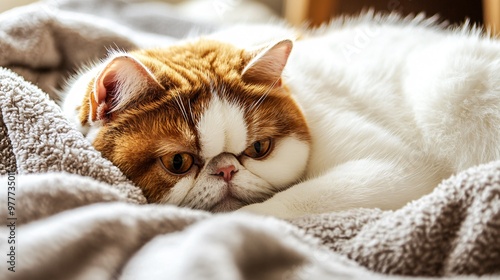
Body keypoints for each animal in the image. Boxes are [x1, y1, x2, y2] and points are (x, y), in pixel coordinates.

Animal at [62, 14, 500, 219]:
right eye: (178, 162)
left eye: (260, 149)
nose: (226, 169)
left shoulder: (399, 168)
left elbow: (287, 204)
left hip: (449, 81)